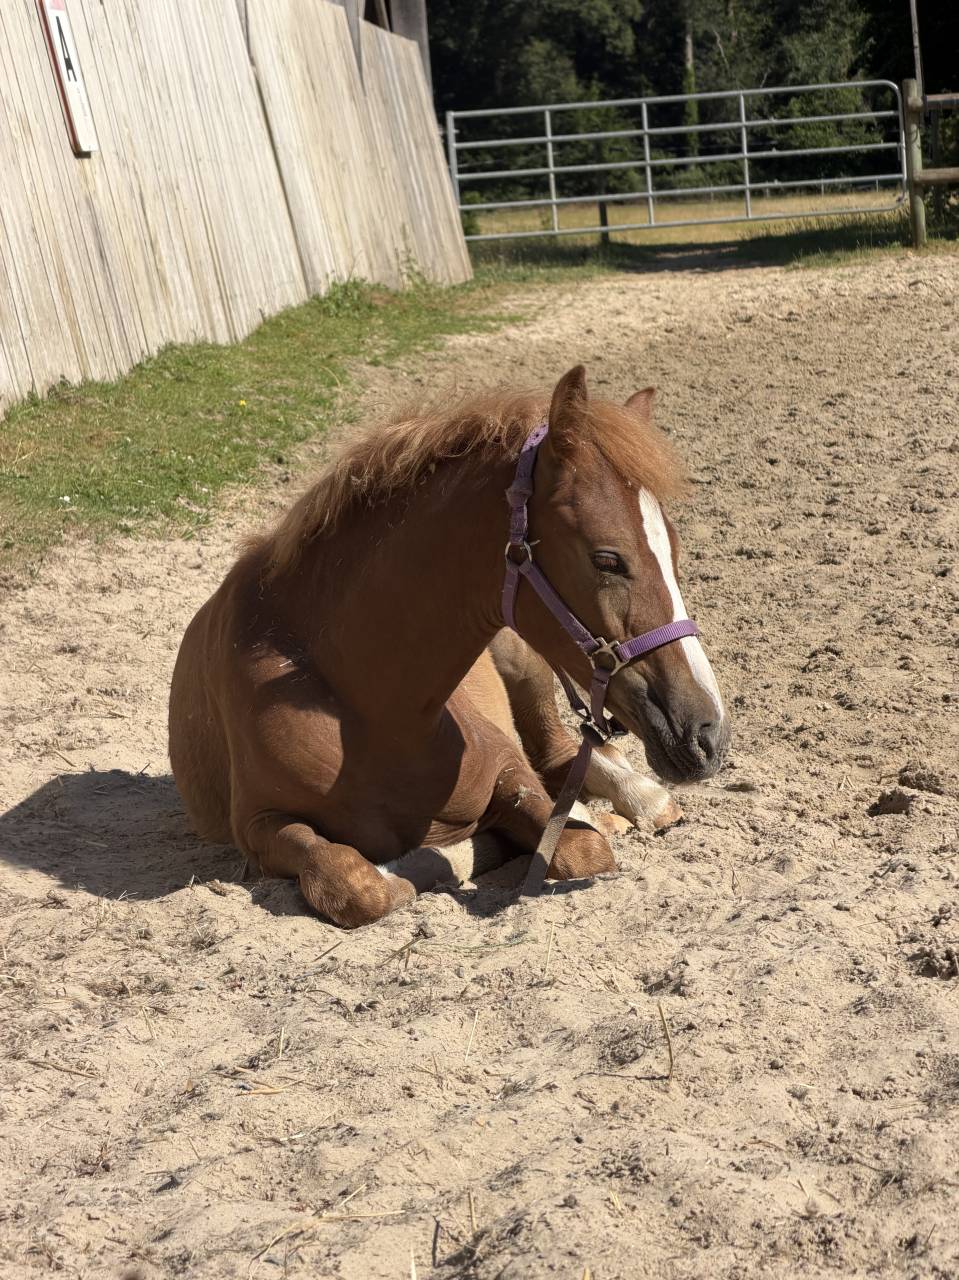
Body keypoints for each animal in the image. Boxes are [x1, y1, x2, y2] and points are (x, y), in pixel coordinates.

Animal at [168, 366, 729, 927]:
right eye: (607, 559)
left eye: (675, 548)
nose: (709, 733)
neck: (375, 714)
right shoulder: (259, 825)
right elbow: (355, 882)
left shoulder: (506, 767)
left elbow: (579, 845)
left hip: (525, 664)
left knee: (561, 750)